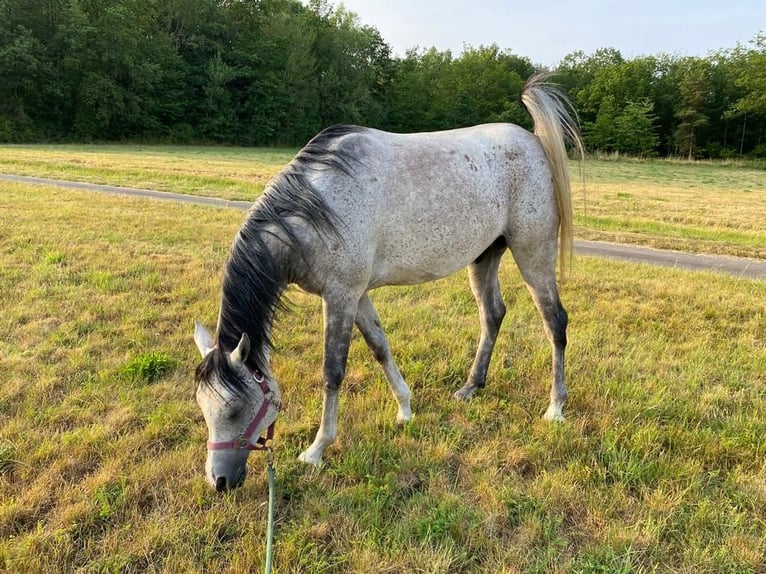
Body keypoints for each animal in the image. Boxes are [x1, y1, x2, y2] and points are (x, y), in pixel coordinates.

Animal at [192, 74, 584, 492]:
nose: (219, 480)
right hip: (484, 258)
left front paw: (317, 449)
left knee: (555, 322)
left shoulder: (341, 296)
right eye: (202, 406)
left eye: (235, 410)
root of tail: (533, 142)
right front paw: (405, 409)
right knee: (493, 314)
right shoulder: (358, 296)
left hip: (533, 254)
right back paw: (470, 387)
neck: (316, 208)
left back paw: (555, 407)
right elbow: (381, 348)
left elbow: (333, 371)